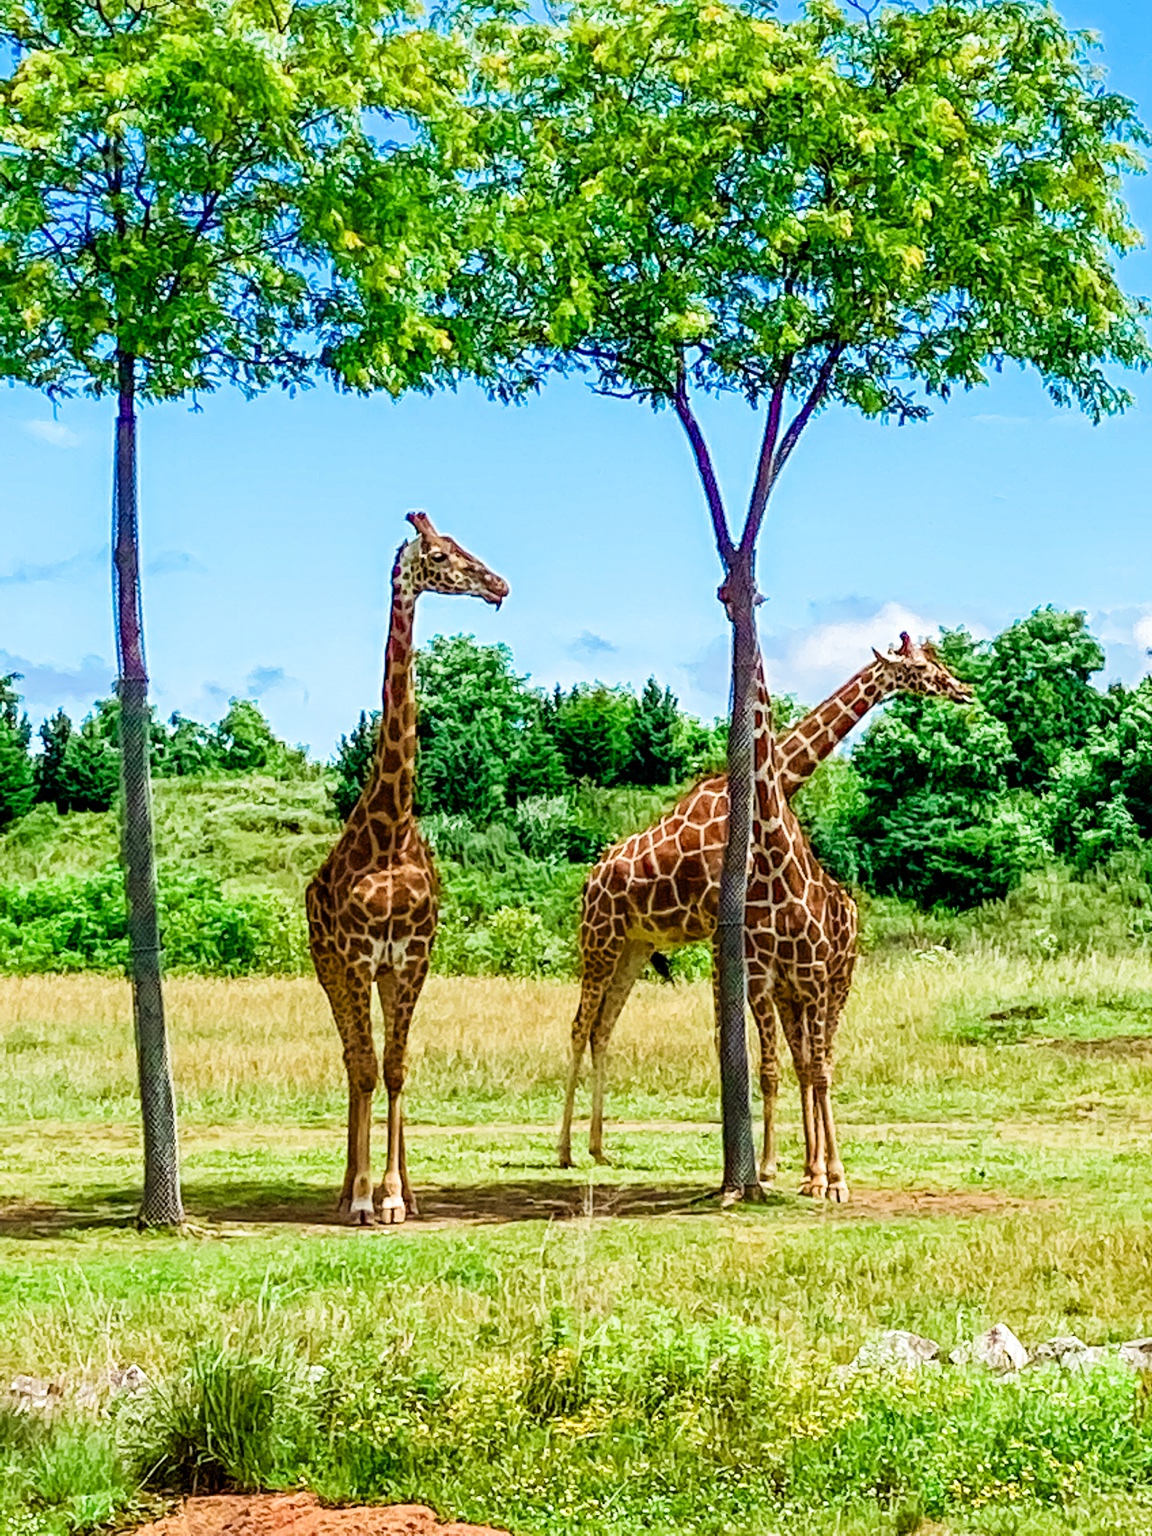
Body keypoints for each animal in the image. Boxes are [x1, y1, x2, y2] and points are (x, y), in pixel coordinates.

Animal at [307, 511, 509, 1225]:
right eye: (441, 555)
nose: (499, 584)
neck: (392, 827)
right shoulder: (357, 956)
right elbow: (367, 1068)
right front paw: (366, 1196)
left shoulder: (412, 958)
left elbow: (395, 1069)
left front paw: (397, 1196)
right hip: (330, 967)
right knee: (351, 1060)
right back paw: (346, 1190)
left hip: (385, 974)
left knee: (371, 1063)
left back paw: (397, 1191)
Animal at [558, 634, 972, 1187]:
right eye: (923, 669)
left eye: (935, 660)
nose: (963, 688)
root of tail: (590, 879)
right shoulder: (722, 924)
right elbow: (728, 1037)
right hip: (599, 938)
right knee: (581, 1025)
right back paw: (564, 1149)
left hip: (636, 945)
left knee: (604, 1027)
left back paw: (599, 1147)